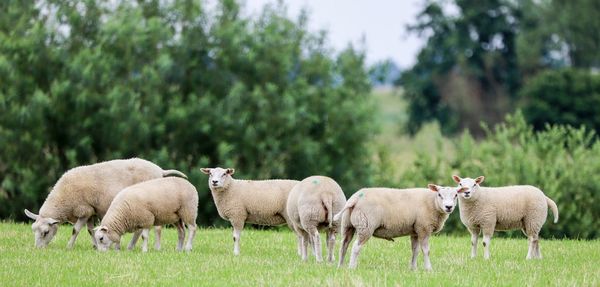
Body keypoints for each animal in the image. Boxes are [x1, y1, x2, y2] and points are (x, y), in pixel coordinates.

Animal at [23, 158, 186, 250]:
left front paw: (69, 246)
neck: (63, 198)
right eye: (33, 230)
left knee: (156, 228)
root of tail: (161, 170)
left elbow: (75, 230)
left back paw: (155, 247)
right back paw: (131, 246)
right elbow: (90, 230)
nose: (38, 249)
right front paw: (95, 245)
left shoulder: (84, 210)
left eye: (45, 232)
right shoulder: (91, 212)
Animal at [336, 186, 466, 272]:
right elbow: (426, 251)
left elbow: (415, 250)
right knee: (356, 247)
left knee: (344, 245)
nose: (448, 207)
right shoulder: (424, 228)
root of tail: (355, 198)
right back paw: (352, 267)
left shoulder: (415, 231)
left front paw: (413, 268)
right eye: (440, 195)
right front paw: (429, 269)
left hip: (348, 225)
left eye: (456, 195)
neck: (432, 202)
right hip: (366, 225)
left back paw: (340, 266)